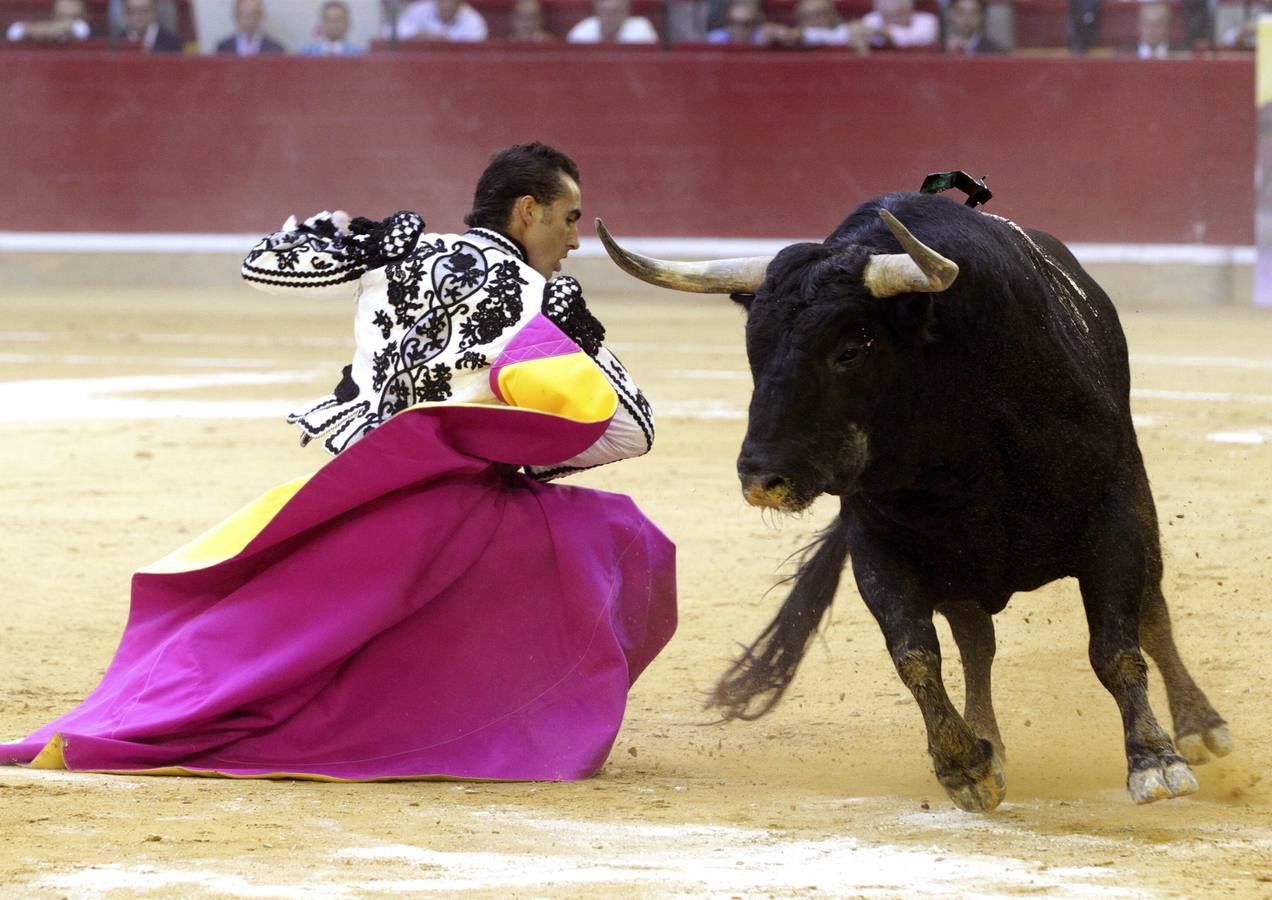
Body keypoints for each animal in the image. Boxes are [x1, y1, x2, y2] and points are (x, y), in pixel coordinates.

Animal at [600, 193, 1236, 813]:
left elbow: (1116, 646)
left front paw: (1155, 761)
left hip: (1136, 510)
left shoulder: (1112, 521)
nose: (762, 477)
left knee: (1151, 610)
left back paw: (1200, 727)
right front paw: (965, 767)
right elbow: (915, 656)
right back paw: (990, 742)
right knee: (977, 644)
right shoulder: (881, 548)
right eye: (754, 349)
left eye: (850, 350)